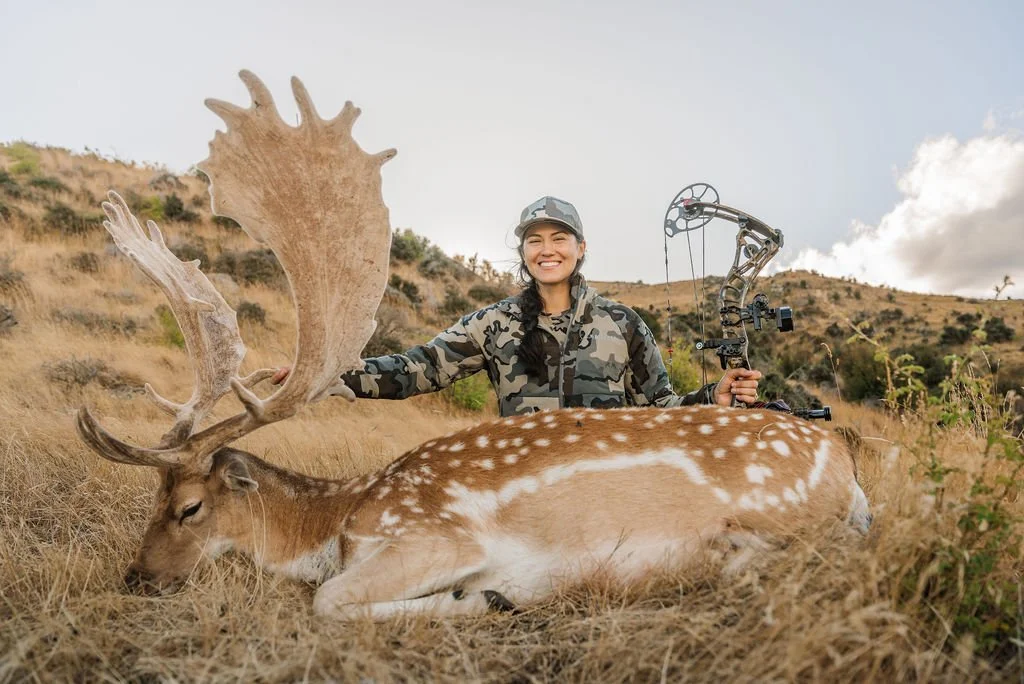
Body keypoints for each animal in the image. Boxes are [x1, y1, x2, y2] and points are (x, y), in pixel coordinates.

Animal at [76, 71, 872, 620]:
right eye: (152, 499)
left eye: (189, 508)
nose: (136, 579)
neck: (339, 523)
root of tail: (843, 459)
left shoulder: (435, 536)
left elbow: (328, 601)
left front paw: (482, 601)